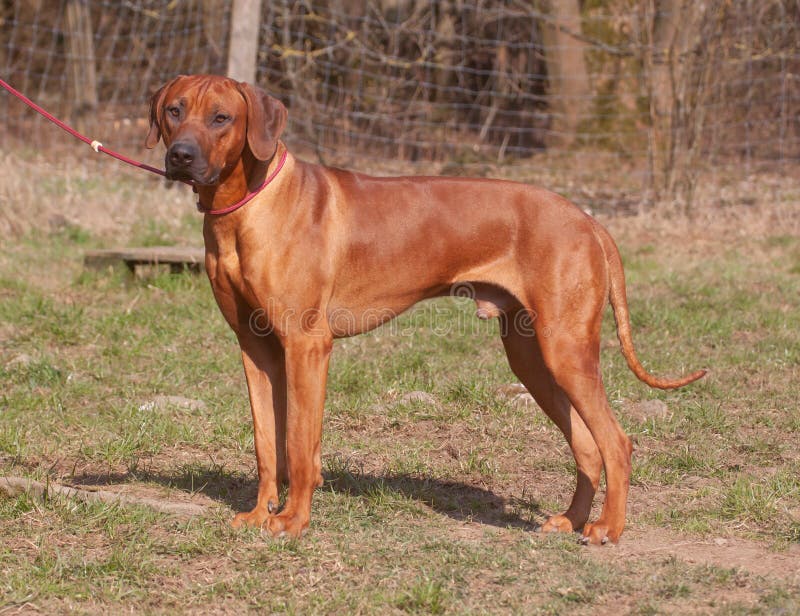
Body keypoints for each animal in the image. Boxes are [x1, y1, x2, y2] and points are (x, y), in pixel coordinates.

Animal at [144, 74, 708, 548]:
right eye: (175, 110)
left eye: (221, 118)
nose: (180, 156)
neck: (246, 208)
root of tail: (588, 219)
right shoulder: (256, 348)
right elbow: (268, 444)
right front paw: (262, 513)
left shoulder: (307, 346)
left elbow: (301, 447)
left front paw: (294, 520)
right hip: (532, 357)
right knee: (588, 447)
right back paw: (571, 520)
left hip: (565, 349)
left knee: (616, 441)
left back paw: (607, 528)